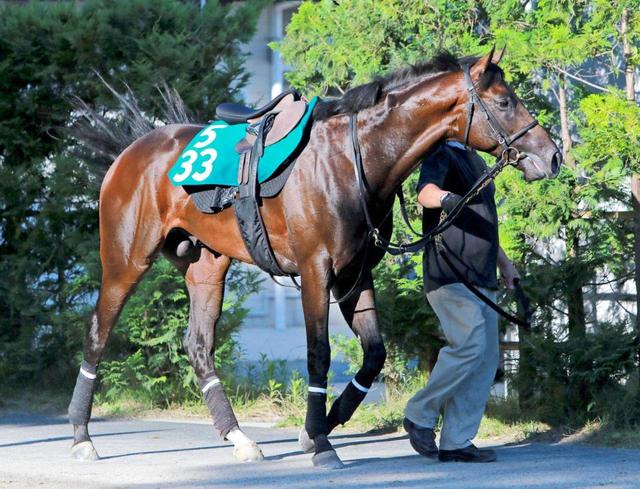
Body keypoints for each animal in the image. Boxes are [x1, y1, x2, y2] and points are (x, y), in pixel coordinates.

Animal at [67, 47, 561, 469]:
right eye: (504, 102)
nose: (553, 156)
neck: (352, 160)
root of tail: (131, 151)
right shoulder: (315, 271)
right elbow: (318, 354)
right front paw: (321, 442)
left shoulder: (355, 274)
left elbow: (374, 354)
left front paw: (319, 425)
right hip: (126, 261)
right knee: (97, 333)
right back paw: (81, 436)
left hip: (206, 267)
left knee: (199, 346)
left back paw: (238, 437)